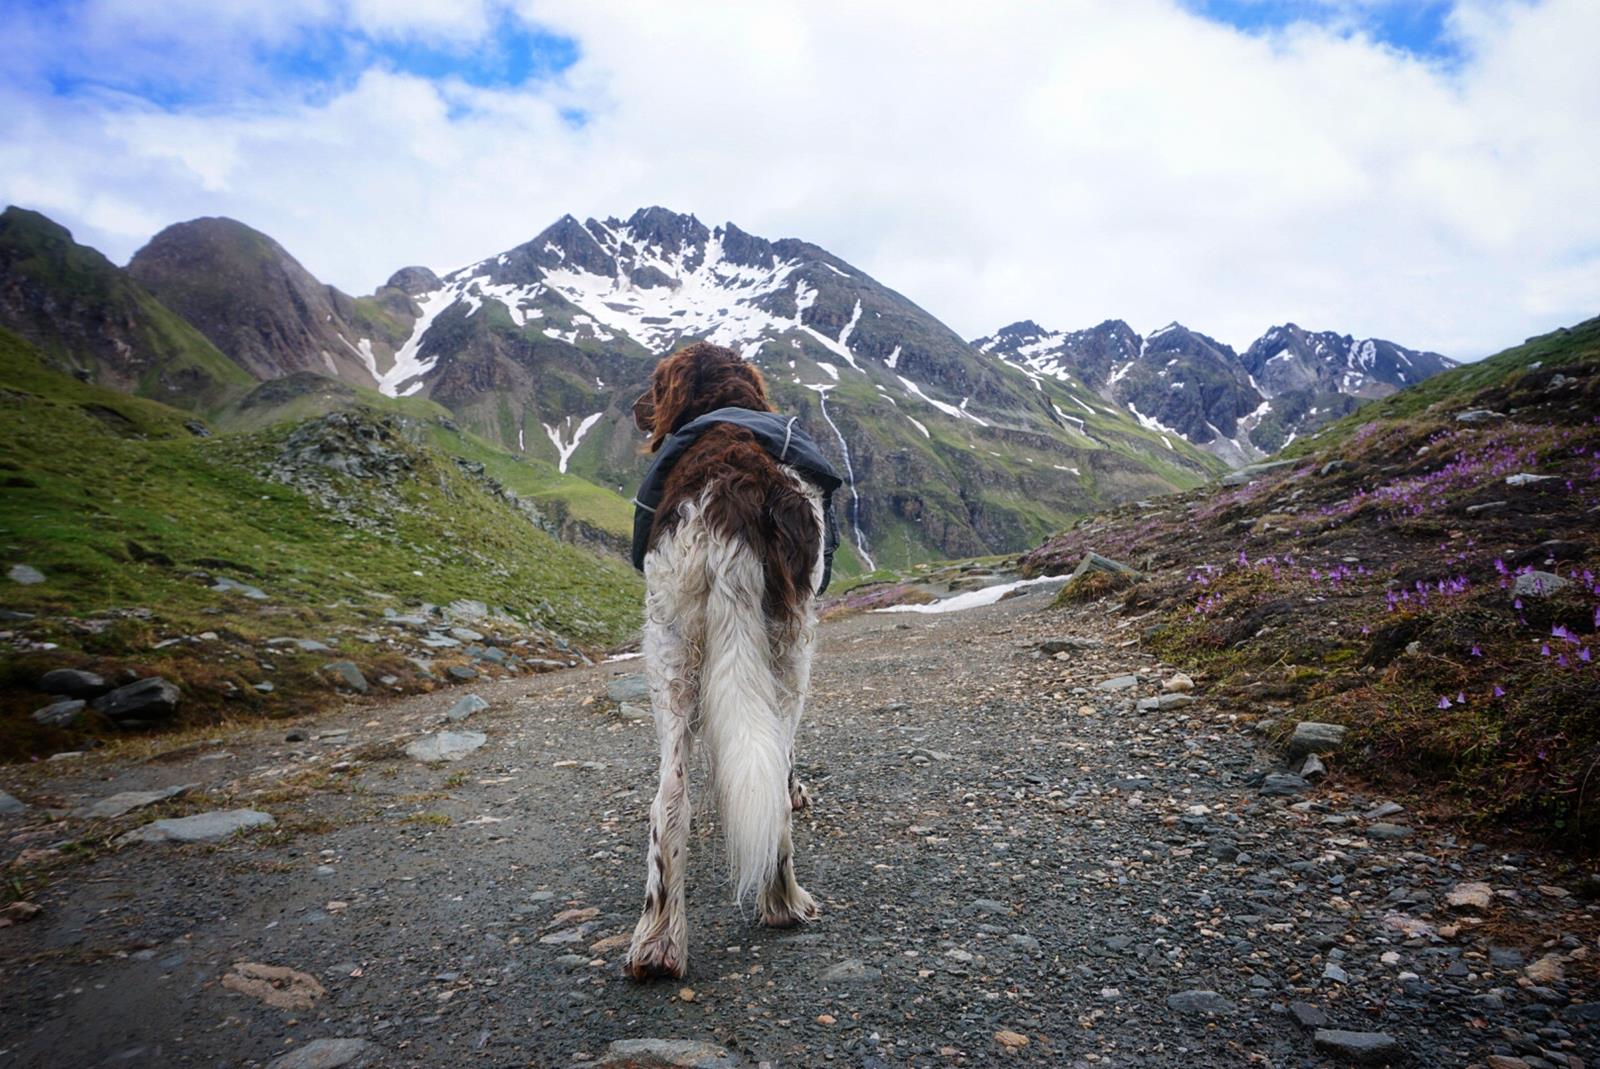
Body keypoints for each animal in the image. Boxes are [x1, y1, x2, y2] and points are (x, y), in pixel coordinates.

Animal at [620, 340, 844, 979]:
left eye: (655, 381)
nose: (638, 408)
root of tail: (728, 489)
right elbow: (783, 761)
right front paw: (798, 790)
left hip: (670, 644)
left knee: (669, 798)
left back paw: (658, 944)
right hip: (789, 646)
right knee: (769, 777)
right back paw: (784, 902)